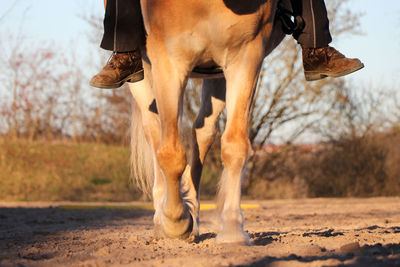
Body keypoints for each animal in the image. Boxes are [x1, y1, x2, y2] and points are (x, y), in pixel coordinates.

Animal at [128, 0, 288, 245]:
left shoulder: (246, 55)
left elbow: (235, 145)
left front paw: (232, 229)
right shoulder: (168, 60)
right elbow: (170, 153)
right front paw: (175, 222)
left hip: (216, 72)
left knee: (203, 131)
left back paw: (192, 210)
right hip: (143, 72)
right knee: (154, 131)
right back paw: (162, 217)